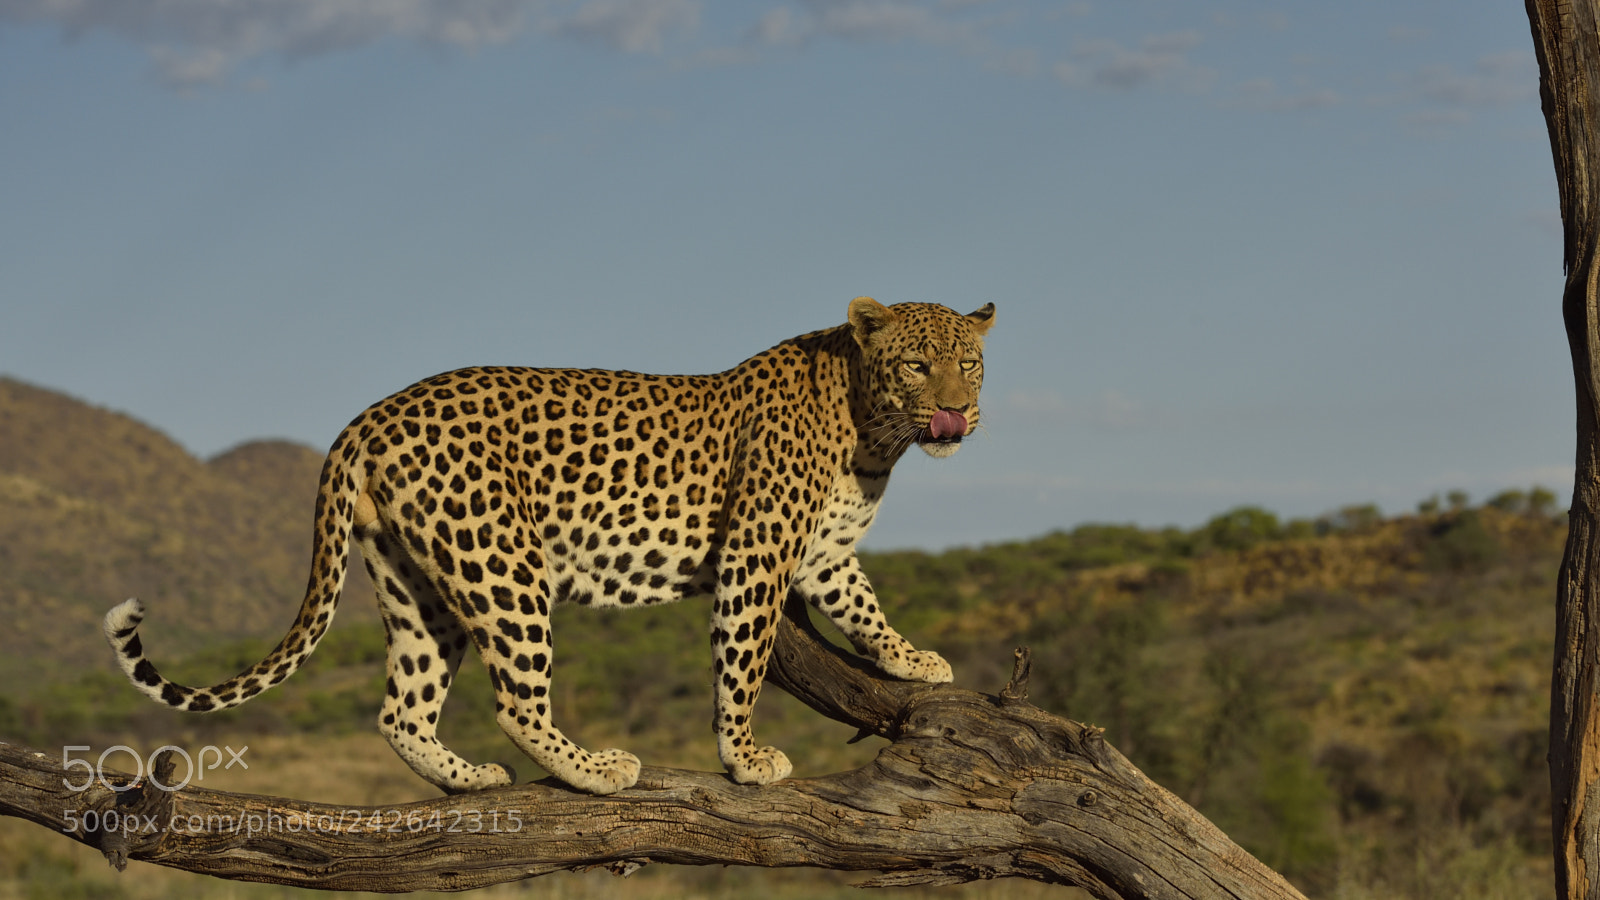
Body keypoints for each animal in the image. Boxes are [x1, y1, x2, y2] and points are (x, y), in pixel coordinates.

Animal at [103, 297, 995, 795]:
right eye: (918, 365)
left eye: (971, 363)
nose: (958, 410)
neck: (871, 431)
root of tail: (370, 414)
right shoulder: (757, 552)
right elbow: (742, 662)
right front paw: (743, 758)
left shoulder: (821, 554)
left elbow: (865, 605)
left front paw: (912, 658)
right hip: (503, 565)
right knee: (515, 700)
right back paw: (594, 770)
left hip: (415, 583)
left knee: (401, 708)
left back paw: (467, 781)